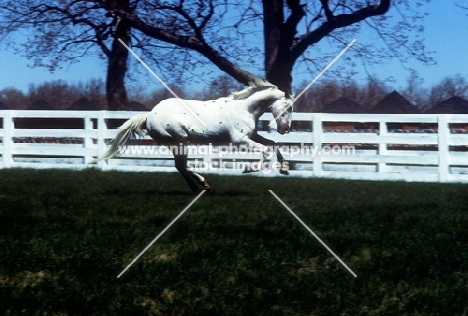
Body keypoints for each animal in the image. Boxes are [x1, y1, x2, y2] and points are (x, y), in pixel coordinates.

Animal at [102, 80, 292, 193]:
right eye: (288, 107)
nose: (286, 129)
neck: (244, 108)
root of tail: (149, 116)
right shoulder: (239, 141)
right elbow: (266, 150)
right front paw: (249, 169)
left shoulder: (252, 136)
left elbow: (273, 144)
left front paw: (284, 168)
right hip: (180, 142)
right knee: (181, 165)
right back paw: (201, 185)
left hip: (177, 144)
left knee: (180, 166)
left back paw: (199, 187)